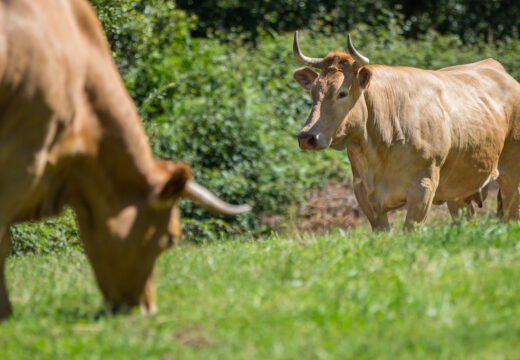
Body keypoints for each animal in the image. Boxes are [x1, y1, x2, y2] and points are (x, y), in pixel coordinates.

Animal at [292, 32, 520, 232]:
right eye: (313, 91)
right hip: (458, 188)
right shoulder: (364, 192)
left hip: (512, 176)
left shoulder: (423, 187)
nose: (306, 136)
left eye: (342, 93)